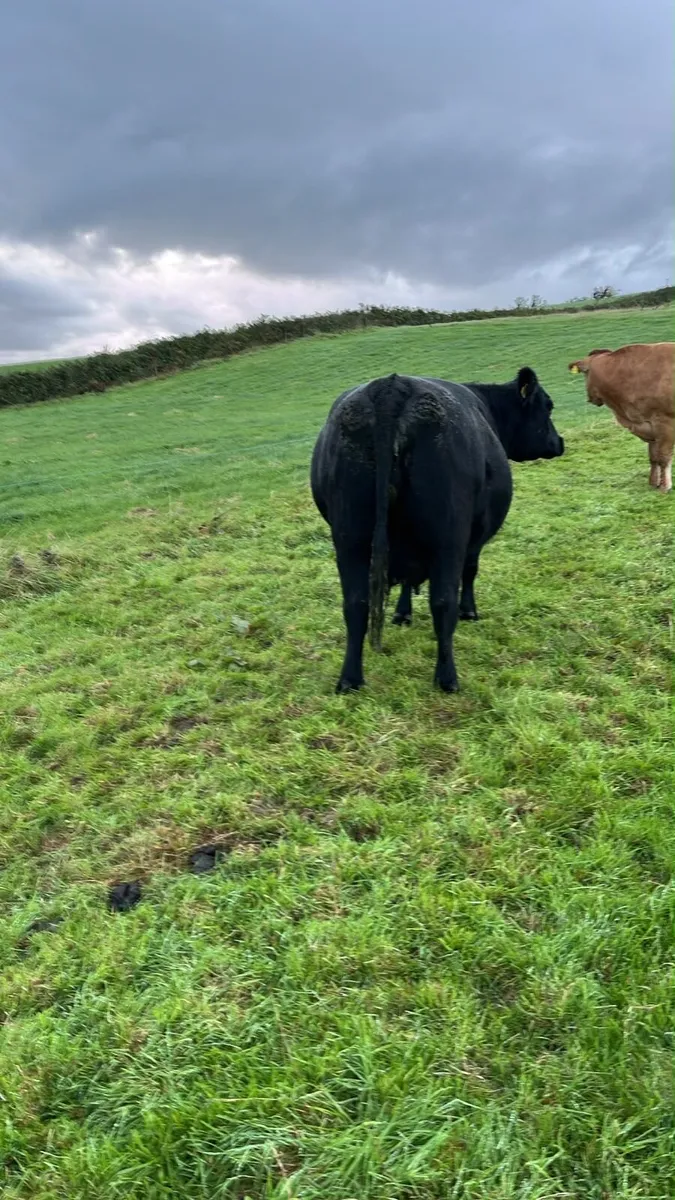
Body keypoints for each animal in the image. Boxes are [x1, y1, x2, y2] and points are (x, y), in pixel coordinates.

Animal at [310, 369, 564, 694]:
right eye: (548, 406)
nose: (559, 442)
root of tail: (392, 386)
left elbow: (406, 582)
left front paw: (402, 614)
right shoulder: (473, 538)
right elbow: (470, 572)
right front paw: (470, 612)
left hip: (349, 538)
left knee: (356, 604)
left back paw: (349, 679)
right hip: (447, 536)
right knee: (443, 602)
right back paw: (447, 678)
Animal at [568, 342, 674, 492]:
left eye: (585, 373)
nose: (589, 398)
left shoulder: (665, 422)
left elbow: (663, 457)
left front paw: (665, 487)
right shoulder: (647, 424)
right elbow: (653, 456)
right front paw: (653, 482)